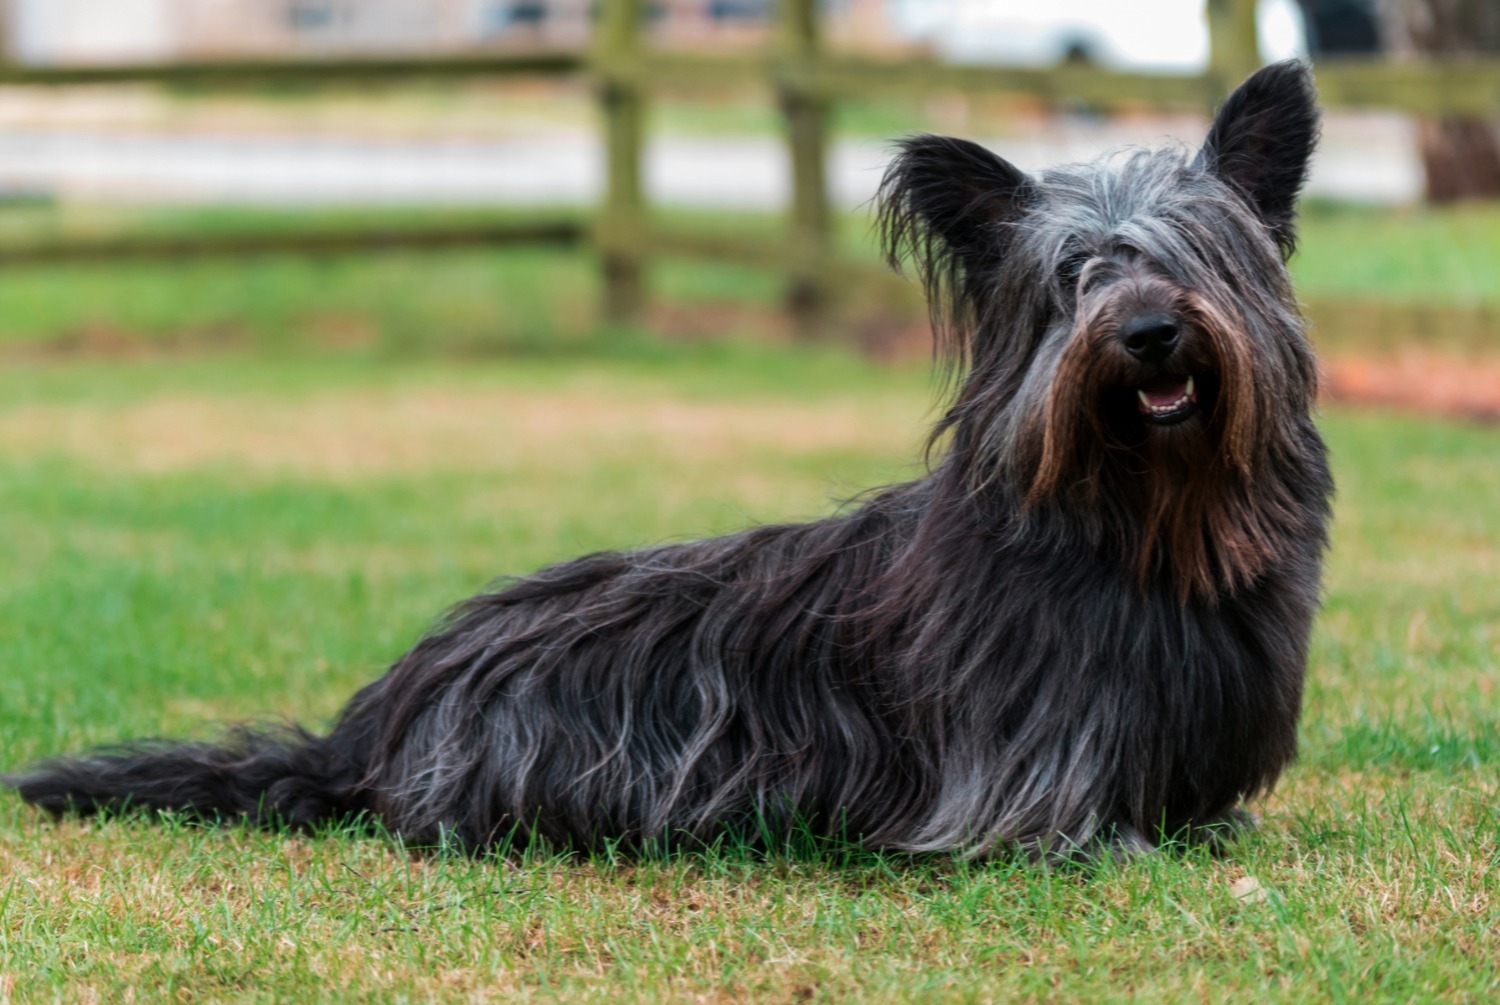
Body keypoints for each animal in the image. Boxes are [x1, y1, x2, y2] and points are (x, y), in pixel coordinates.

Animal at [8, 61, 1326, 864]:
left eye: (1197, 254)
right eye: (1071, 280)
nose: (1147, 333)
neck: (1138, 522)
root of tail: (367, 730)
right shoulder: (1018, 782)